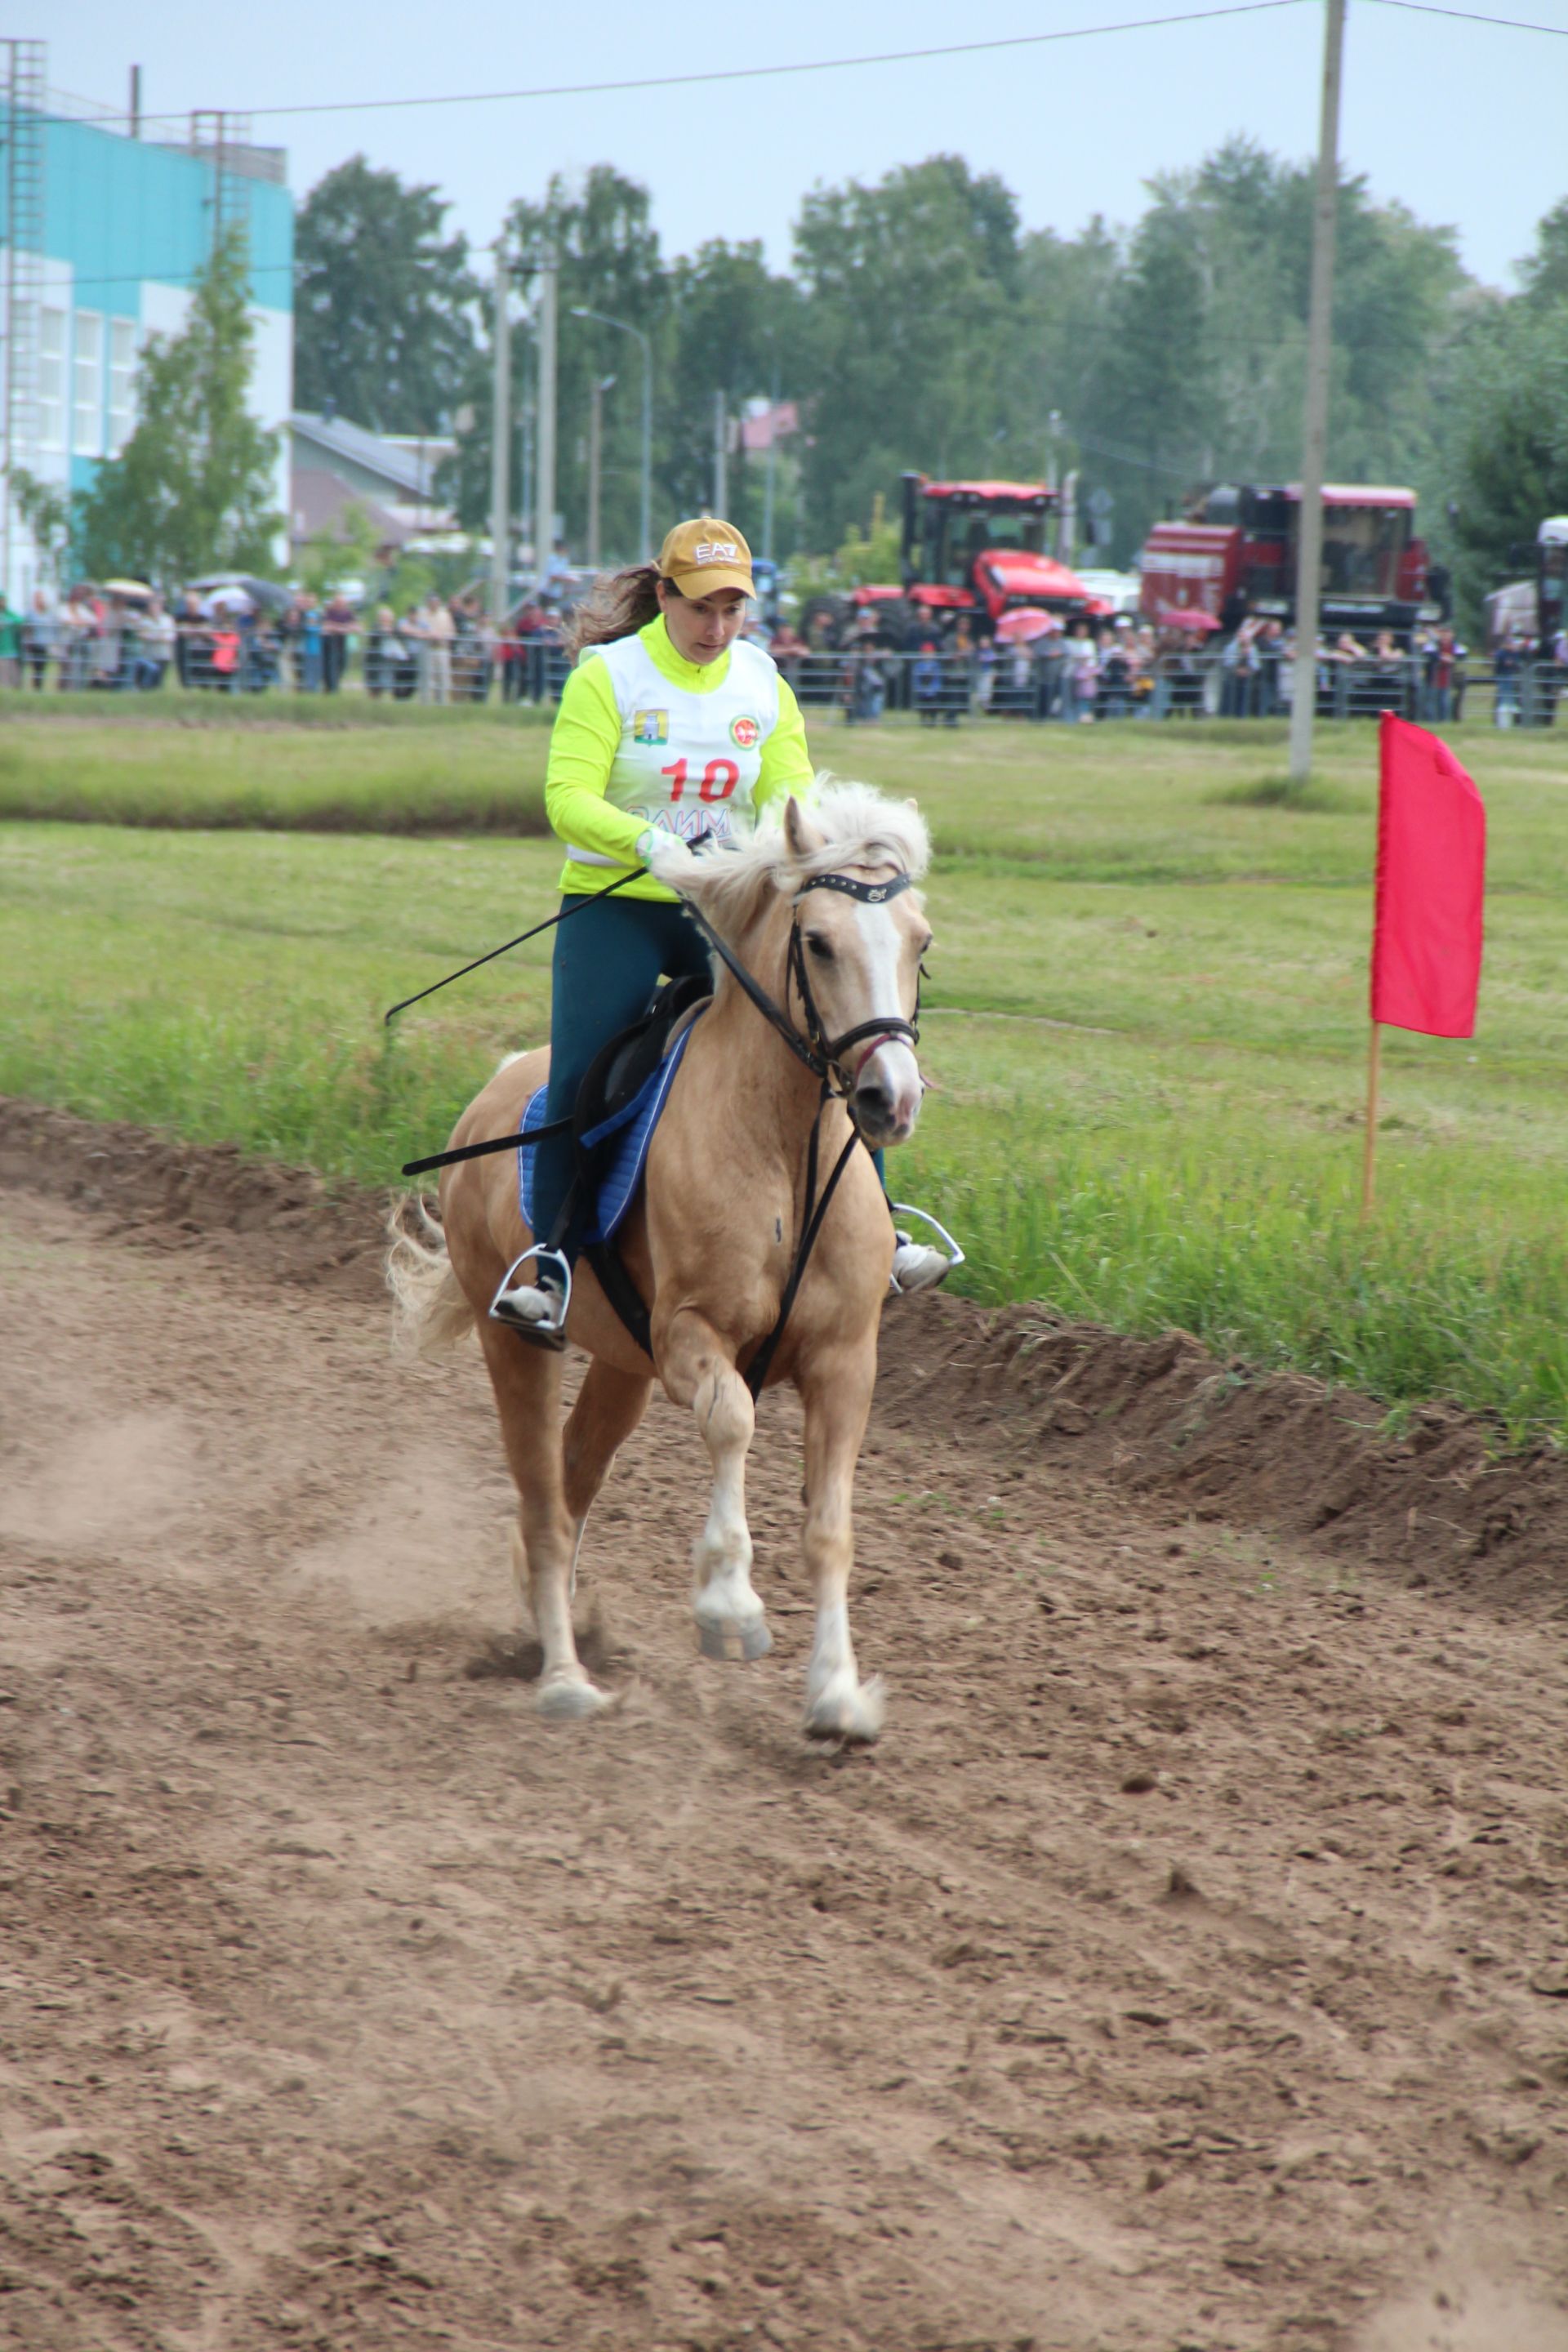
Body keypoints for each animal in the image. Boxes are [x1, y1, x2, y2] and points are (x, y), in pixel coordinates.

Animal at [390, 781, 930, 1740]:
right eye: (819, 941)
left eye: (921, 943)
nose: (889, 1100)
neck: (782, 1148)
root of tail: (485, 1098)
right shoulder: (691, 1336)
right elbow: (733, 1423)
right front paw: (729, 1609)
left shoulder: (844, 1361)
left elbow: (831, 1529)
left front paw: (836, 1695)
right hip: (518, 1346)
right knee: (544, 1502)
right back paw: (565, 1679)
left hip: (621, 1368)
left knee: (570, 1480)